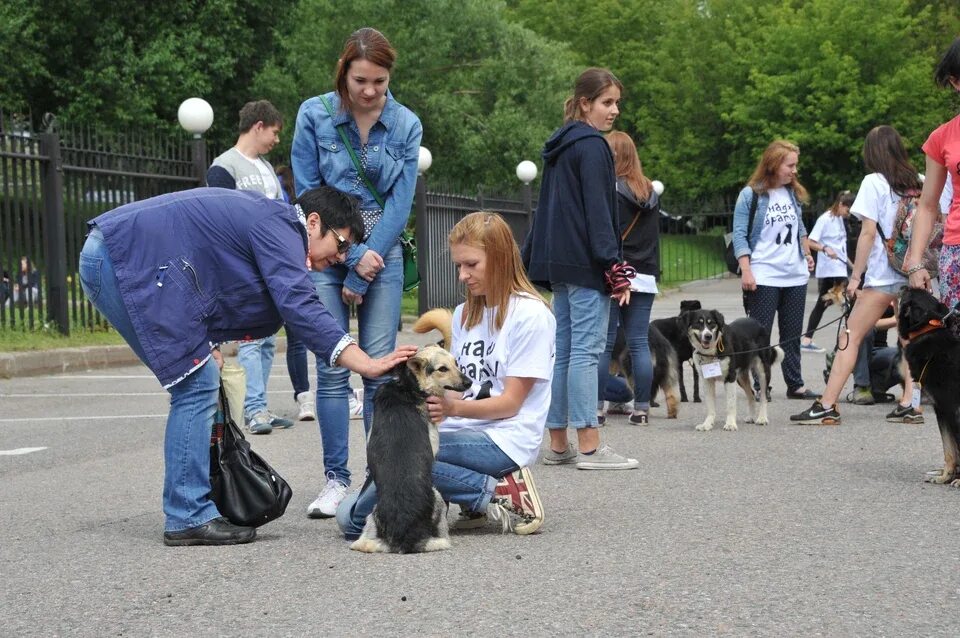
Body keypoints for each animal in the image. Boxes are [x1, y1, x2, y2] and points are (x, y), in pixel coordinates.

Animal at [352, 344, 472, 556]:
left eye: (455, 363)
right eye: (442, 369)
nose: (469, 382)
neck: (408, 386)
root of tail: (405, 537)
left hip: (371, 517)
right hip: (438, 496)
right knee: (442, 538)